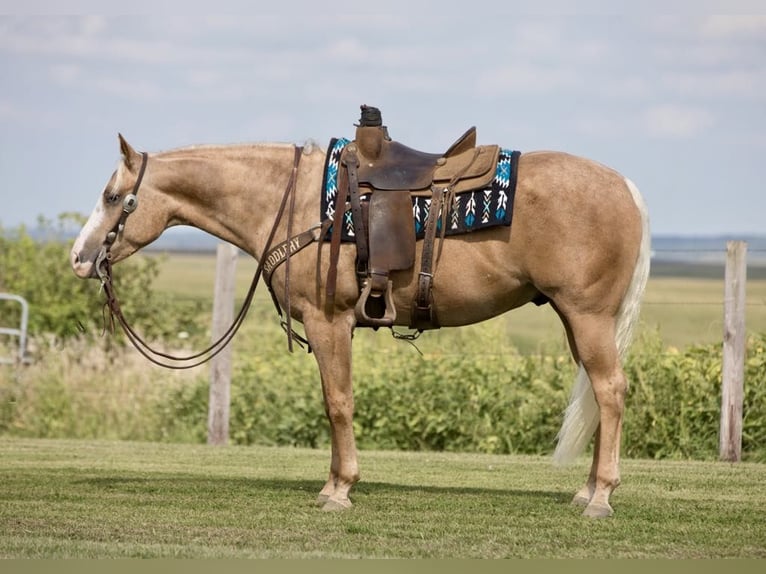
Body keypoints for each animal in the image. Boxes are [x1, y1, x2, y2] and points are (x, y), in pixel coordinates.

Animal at [72, 128, 652, 520]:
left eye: (111, 197)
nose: (80, 257)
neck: (298, 202)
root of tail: (625, 186)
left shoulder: (328, 322)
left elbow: (338, 403)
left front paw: (339, 489)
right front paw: (335, 483)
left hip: (588, 317)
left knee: (611, 390)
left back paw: (601, 496)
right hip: (577, 321)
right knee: (600, 392)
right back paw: (587, 489)